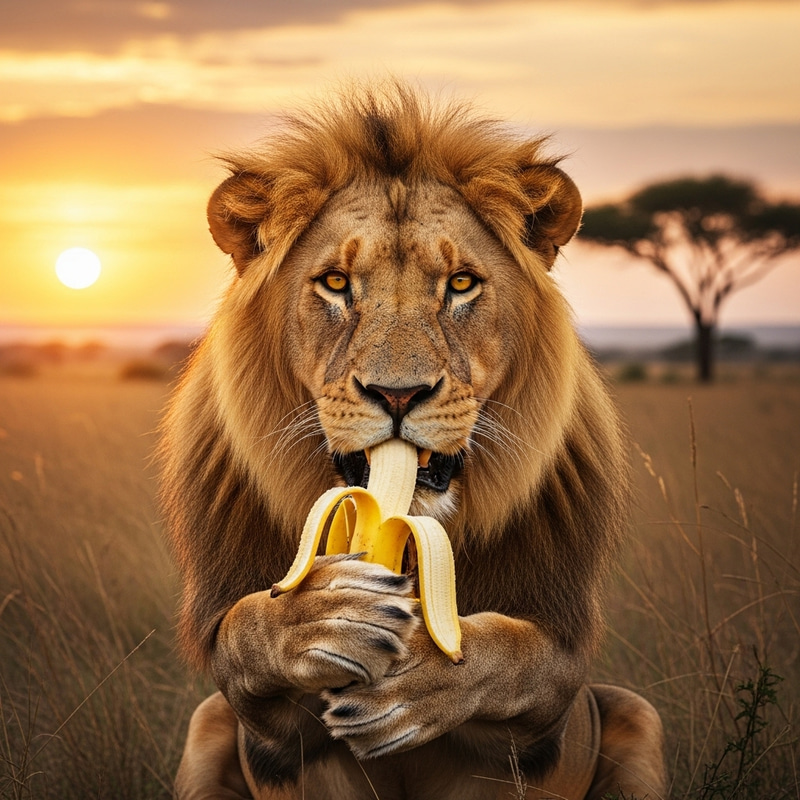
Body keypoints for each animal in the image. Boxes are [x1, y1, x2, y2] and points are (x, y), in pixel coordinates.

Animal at [160, 82, 666, 799]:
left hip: (636, 712)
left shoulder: (553, 701)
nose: (398, 396)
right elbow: (246, 626)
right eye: (336, 283)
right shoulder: (265, 729)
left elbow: (514, 653)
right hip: (205, 725)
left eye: (460, 284)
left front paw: (423, 672)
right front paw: (329, 615)